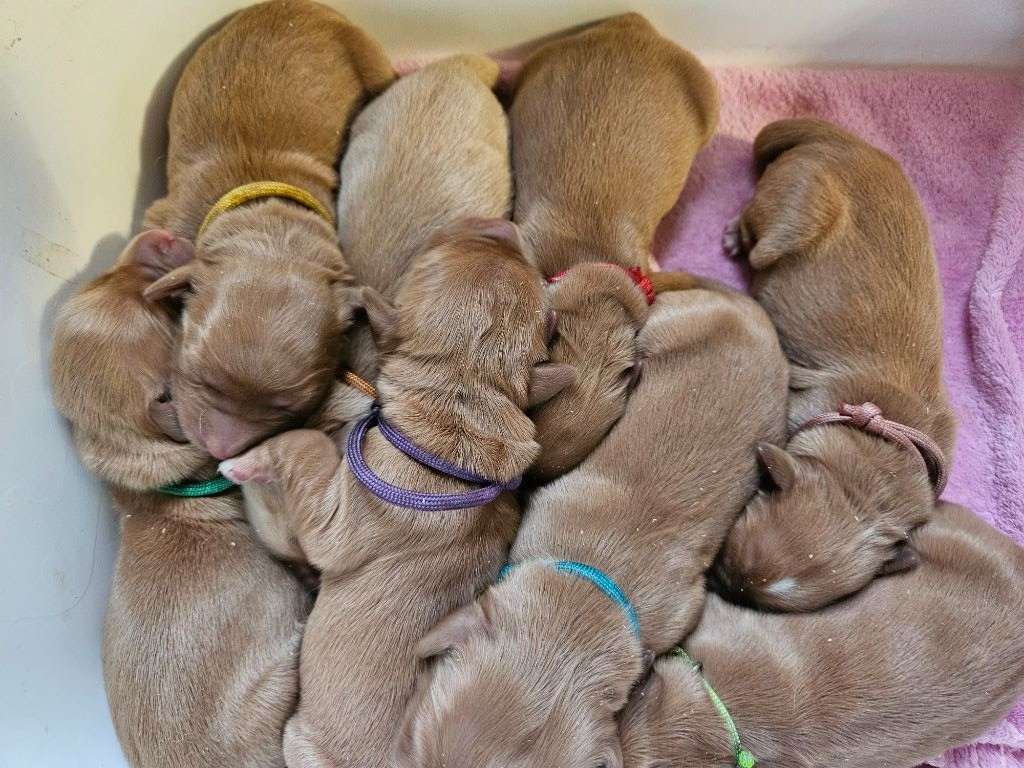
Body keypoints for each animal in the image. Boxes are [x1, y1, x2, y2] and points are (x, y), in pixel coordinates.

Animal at [141, 0, 395, 460]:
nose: (221, 450)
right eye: (200, 376)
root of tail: (298, 5)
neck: (272, 222)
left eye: (288, 407)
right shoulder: (165, 217)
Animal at [220, 218, 573, 767]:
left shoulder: (331, 524)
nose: (498, 224)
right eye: (533, 278)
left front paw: (246, 462)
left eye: (427, 263)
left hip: (299, 740)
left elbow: (303, 446)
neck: (457, 415)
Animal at [714, 118, 956, 611]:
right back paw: (736, 233)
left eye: (753, 601)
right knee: (756, 230)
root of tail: (845, 141)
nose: (719, 585)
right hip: (794, 206)